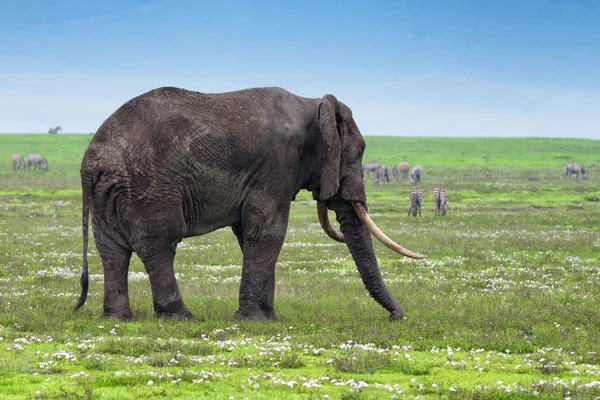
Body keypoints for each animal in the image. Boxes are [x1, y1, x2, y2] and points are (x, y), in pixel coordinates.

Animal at [72, 86, 424, 322]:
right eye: (360, 151)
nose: (395, 317)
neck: (310, 103)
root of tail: (92, 160)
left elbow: (249, 233)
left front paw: (268, 318)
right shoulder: (278, 164)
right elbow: (267, 229)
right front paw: (252, 320)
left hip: (109, 192)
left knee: (112, 251)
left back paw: (117, 318)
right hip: (150, 187)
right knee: (158, 245)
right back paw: (182, 318)